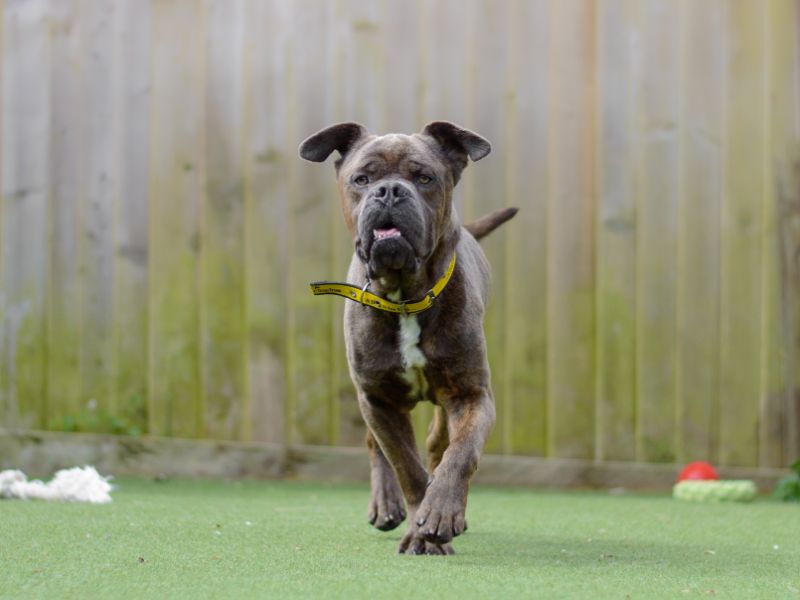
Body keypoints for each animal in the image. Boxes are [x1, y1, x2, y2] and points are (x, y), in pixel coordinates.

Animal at [296, 122, 516, 556]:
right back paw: (385, 504)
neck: (404, 297)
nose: (389, 191)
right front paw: (418, 531)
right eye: (362, 179)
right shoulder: (377, 398)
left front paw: (441, 514)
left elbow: (460, 455)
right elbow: (404, 465)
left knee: (437, 445)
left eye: (424, 178)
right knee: (377, 446)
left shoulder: (471, 394)